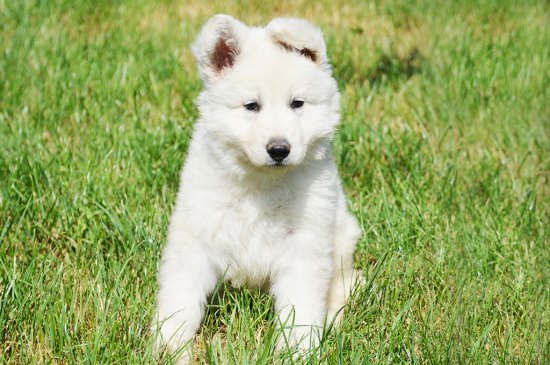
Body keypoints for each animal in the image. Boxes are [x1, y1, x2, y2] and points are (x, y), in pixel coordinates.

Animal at [155, 13, 362, 362]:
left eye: (297, 103)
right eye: (251, 106)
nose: (279, 149)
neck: (261, 182)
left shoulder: (306, 245)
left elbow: (302, 306)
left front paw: (297, 351)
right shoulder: (196, 233)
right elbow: (181, 294)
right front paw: (168, 345)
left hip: (343, 235)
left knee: (344, 284)